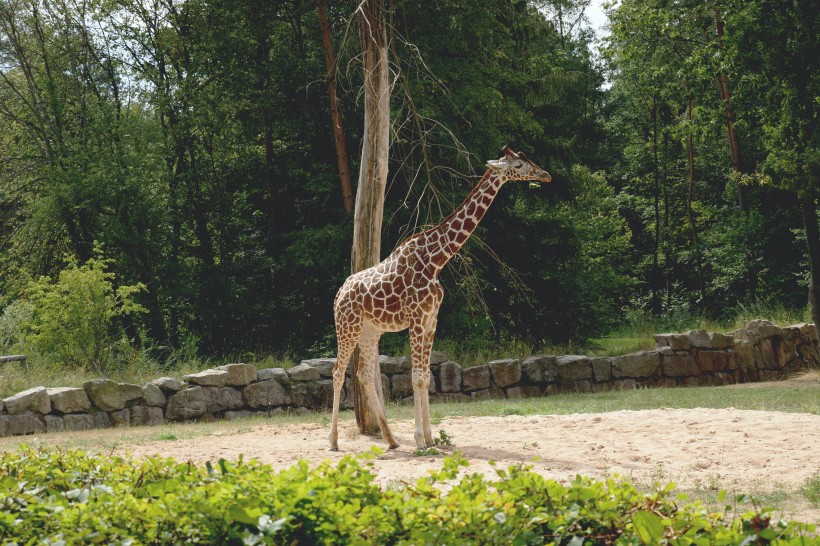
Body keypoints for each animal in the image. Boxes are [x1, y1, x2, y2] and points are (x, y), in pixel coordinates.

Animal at [328, 146, 552, 450]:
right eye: (518, 165)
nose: (545, 175)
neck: (437, 260)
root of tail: (339, 293)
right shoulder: (416, 319)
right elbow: (416, 377)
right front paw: (420, 441)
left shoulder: (432, 319)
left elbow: (425, 379)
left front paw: (430, 438)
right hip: (347, 326)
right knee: (338, 372)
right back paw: (334, 441)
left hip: (370, 330)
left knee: (363, 373)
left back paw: (391, 439)